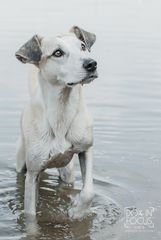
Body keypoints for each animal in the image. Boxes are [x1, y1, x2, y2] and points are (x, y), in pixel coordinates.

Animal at [15, 25, 97, 218]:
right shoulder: (33, 174)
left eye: (83, 46)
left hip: (68, 171)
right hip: (21, 162)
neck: (62, 110)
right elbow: (30, 214)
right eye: (57, 53)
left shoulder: (86, 148)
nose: (91, 64)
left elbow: (89, 191)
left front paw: (77, 210)